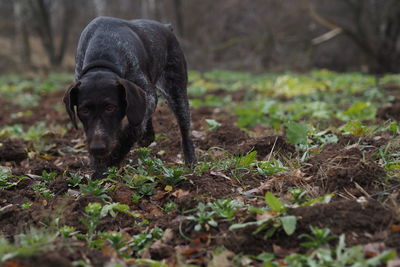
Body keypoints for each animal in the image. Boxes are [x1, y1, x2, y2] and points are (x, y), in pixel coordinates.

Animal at [62, 16, 197, 178]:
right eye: (84, 110)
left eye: (110, 107)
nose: (97, 147)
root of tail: (166, 27)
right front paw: (99, 168)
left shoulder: (147, 94)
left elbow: (133, 129)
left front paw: (114, 157)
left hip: (176, 92)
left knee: (184, 128)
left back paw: (191, 161)